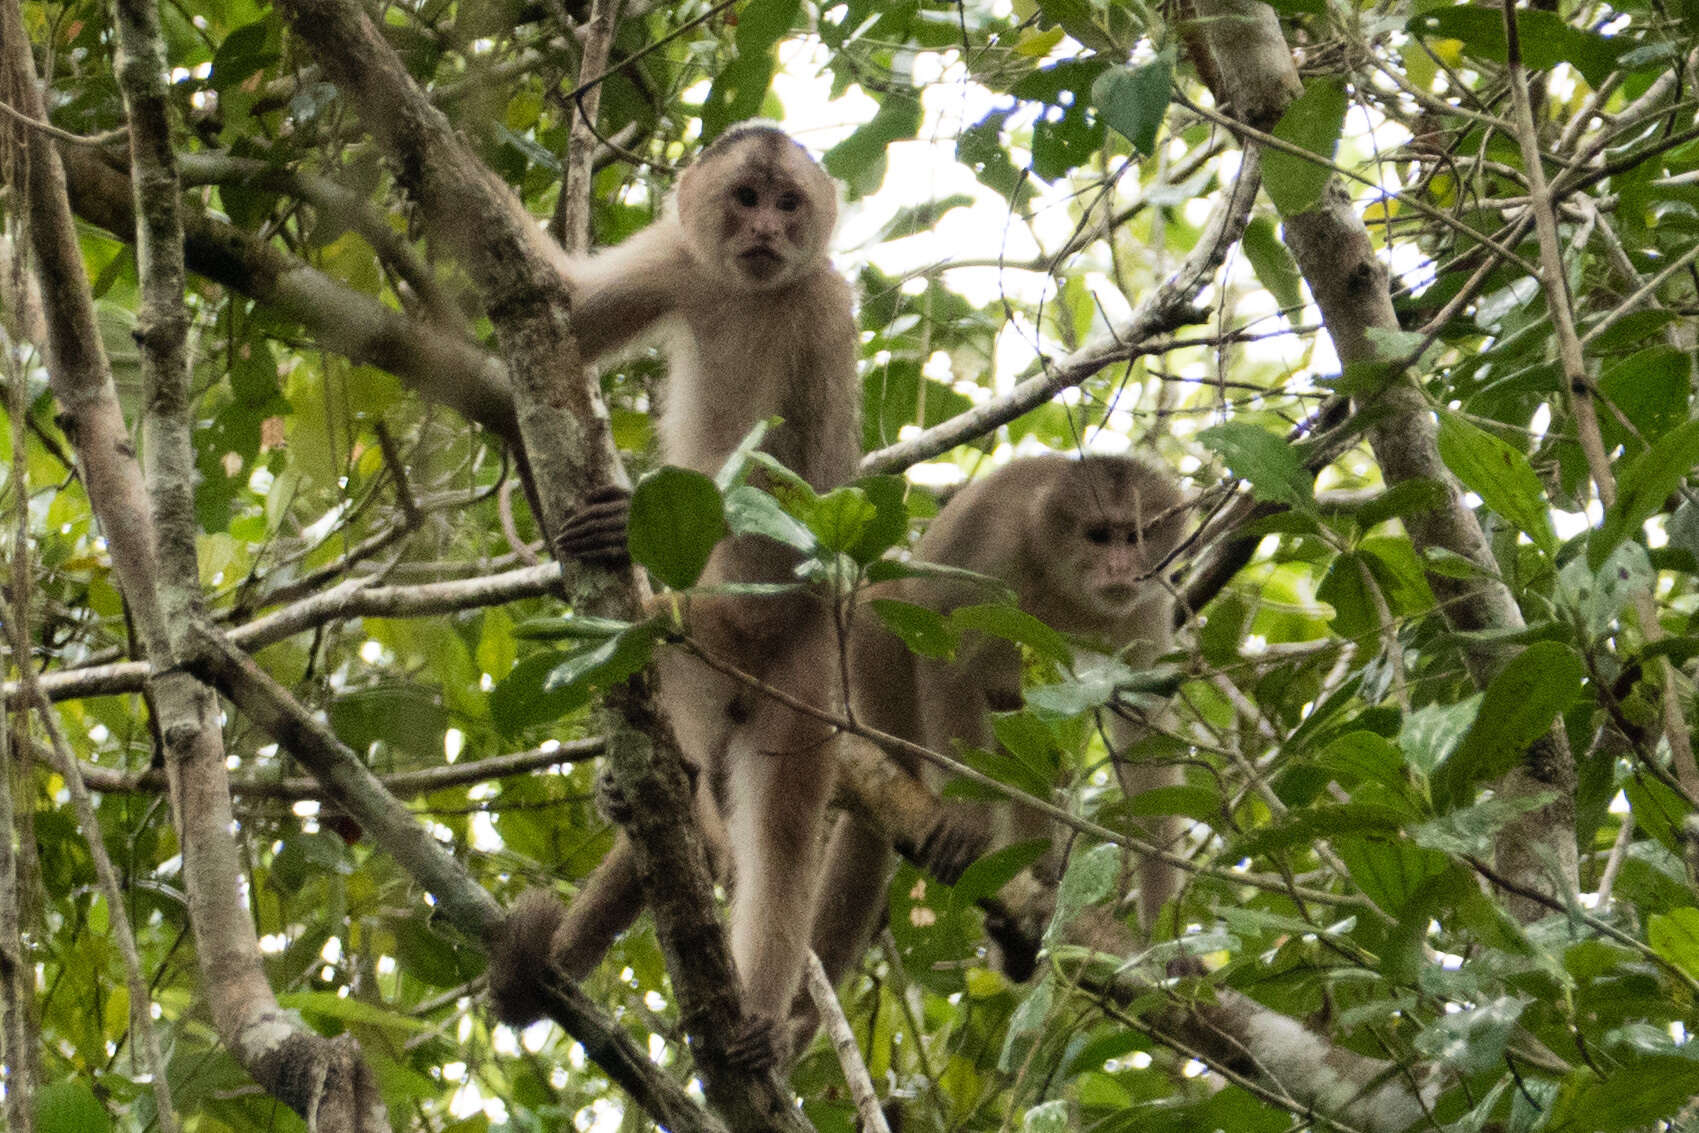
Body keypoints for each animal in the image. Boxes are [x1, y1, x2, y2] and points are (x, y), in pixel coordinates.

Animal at [485, 124, 971, 1073]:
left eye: (787, 204)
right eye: (746, 198)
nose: (769, 233)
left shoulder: (821, 307)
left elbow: (816, 490)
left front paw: (632, 521)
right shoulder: (680, 258)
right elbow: (551, 308)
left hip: (806, 666)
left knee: (778, 829)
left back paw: (758, 1021)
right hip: (708, 678)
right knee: (677, 745)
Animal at [801, 451, 1189, 1039]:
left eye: (1137, 535)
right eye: (1100, 536)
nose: (1124, 568)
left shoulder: (1147, 605)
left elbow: (1144, 744)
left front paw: (1168, 943)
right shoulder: (992, 544)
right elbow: (946, 648)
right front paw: (968, 820)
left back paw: (1027, 912)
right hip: (869, 660)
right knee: (889, 614)